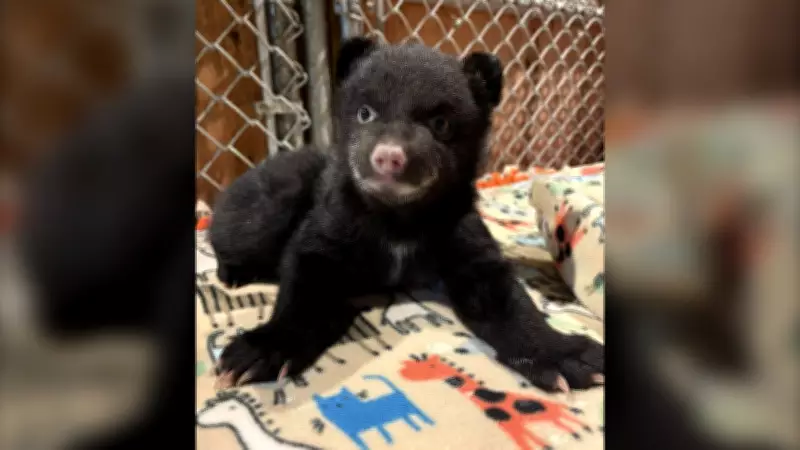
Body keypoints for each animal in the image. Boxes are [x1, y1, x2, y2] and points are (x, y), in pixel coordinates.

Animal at [211, 37, 604, 392]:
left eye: (441, 123)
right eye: (365, 112)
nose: (388, 156)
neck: (398, 219)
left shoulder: (462, 236)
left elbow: (506, 297)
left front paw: (565, 355)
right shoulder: (330, 225)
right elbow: (303, 280)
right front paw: (258, 351)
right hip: (269, 206)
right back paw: (237, 275)